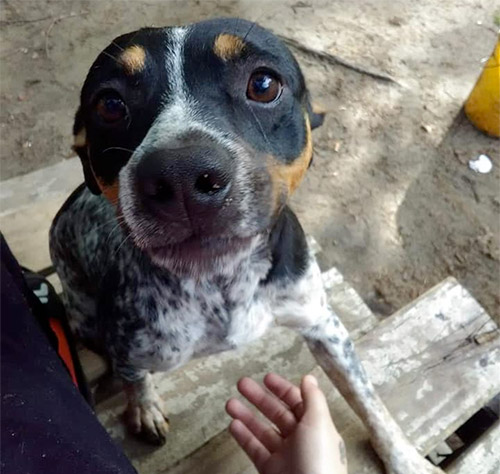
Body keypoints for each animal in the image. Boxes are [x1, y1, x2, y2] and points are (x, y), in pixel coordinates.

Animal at [50, 18, 442, 474]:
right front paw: (144, 408)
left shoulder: (323, 323)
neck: (223, 282)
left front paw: (404, 457)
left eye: (264, 84)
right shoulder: (129, 346)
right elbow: (135, 379)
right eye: (110, 105)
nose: (181, 176)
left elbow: (366, 396)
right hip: (84, 318)